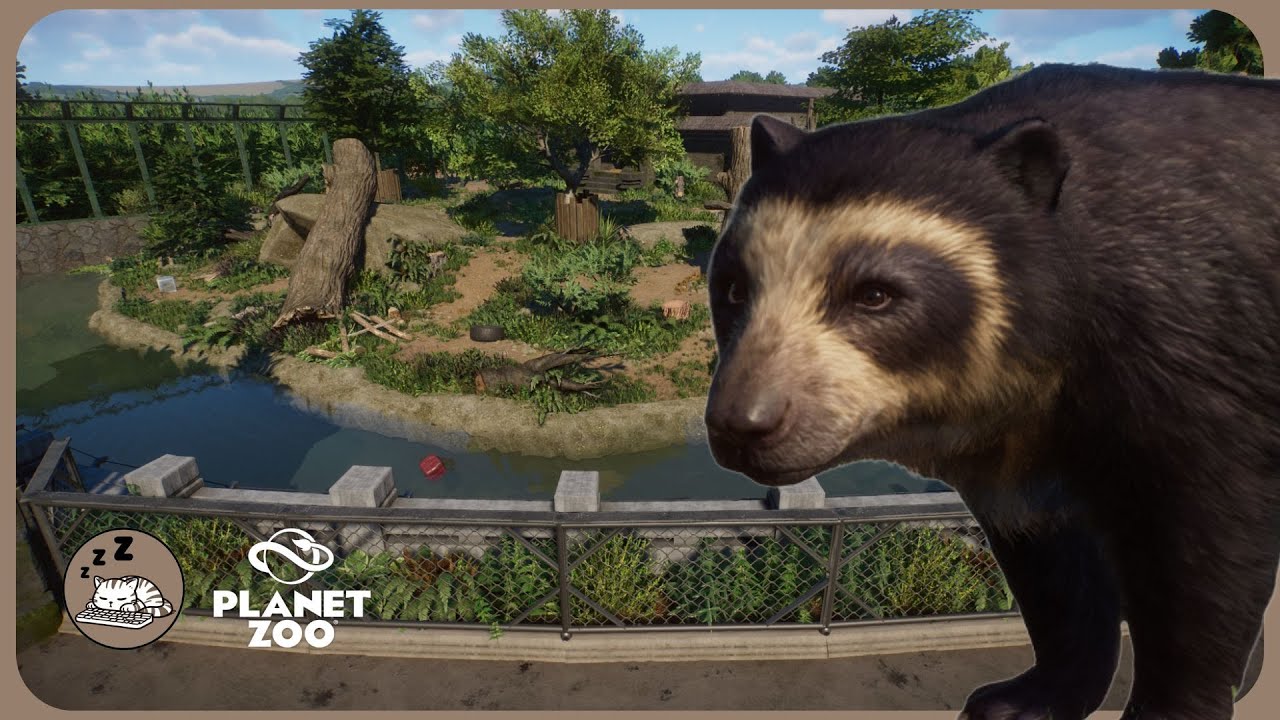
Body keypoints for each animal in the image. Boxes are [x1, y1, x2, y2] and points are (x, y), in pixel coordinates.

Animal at [702, 63, 1280, 720]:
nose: (743, 425)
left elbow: (1204, 555)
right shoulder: (1017, 433)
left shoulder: (1197, 346)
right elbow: (1049, 562)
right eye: (732, 287)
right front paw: (1023, 698)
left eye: (875, 294)